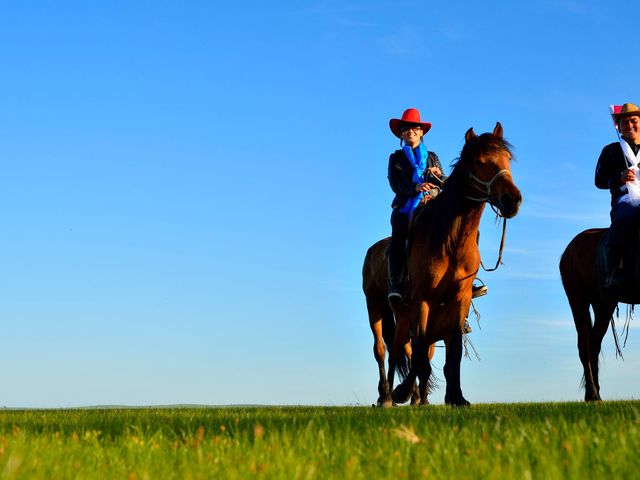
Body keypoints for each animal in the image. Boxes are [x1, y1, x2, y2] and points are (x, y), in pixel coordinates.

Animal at [364, 123, 520, 404]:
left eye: (508, 159)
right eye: (480, 162)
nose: (512, 200)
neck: (450, 239)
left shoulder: (460, 301)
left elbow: (452, 354)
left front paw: (456, 397)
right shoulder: (423, 300)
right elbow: (420, 354)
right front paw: (405, 392)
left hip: (402, 316)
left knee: (398, 350)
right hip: (375, 307)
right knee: (382, 350)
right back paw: (387, 396)